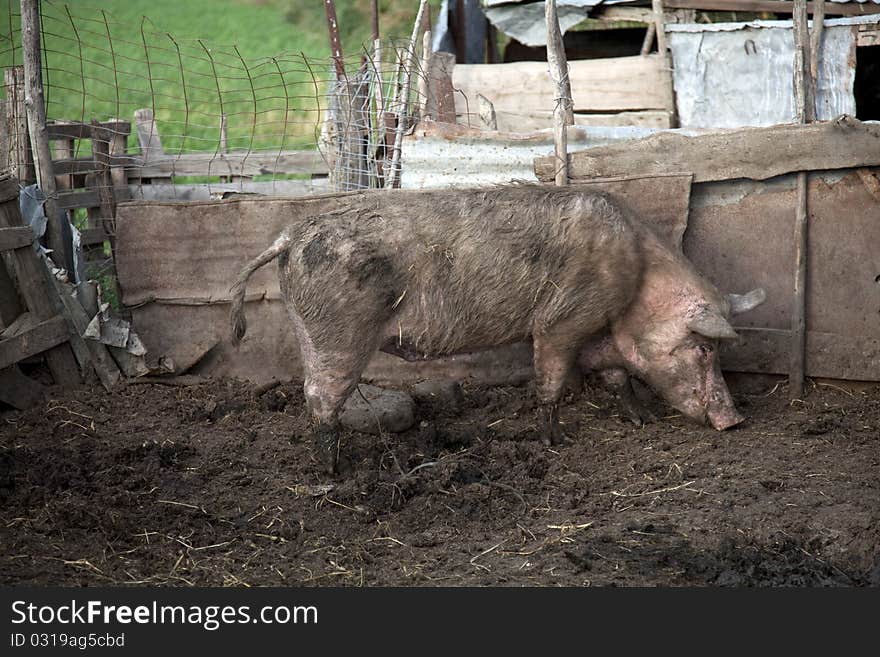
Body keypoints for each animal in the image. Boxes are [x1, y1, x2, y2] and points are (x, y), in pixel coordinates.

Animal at [229, 186, 764, 472]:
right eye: (704, 349)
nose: (735, 421)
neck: (634, 284)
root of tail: (288, 236)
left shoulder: (598, 331)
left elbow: (617, 377)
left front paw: (641, 421)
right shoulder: (560, 321)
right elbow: (549, 380)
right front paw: (556, 442)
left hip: (312, 329)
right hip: (337, 334)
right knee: (320, 398)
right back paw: (334, 469)